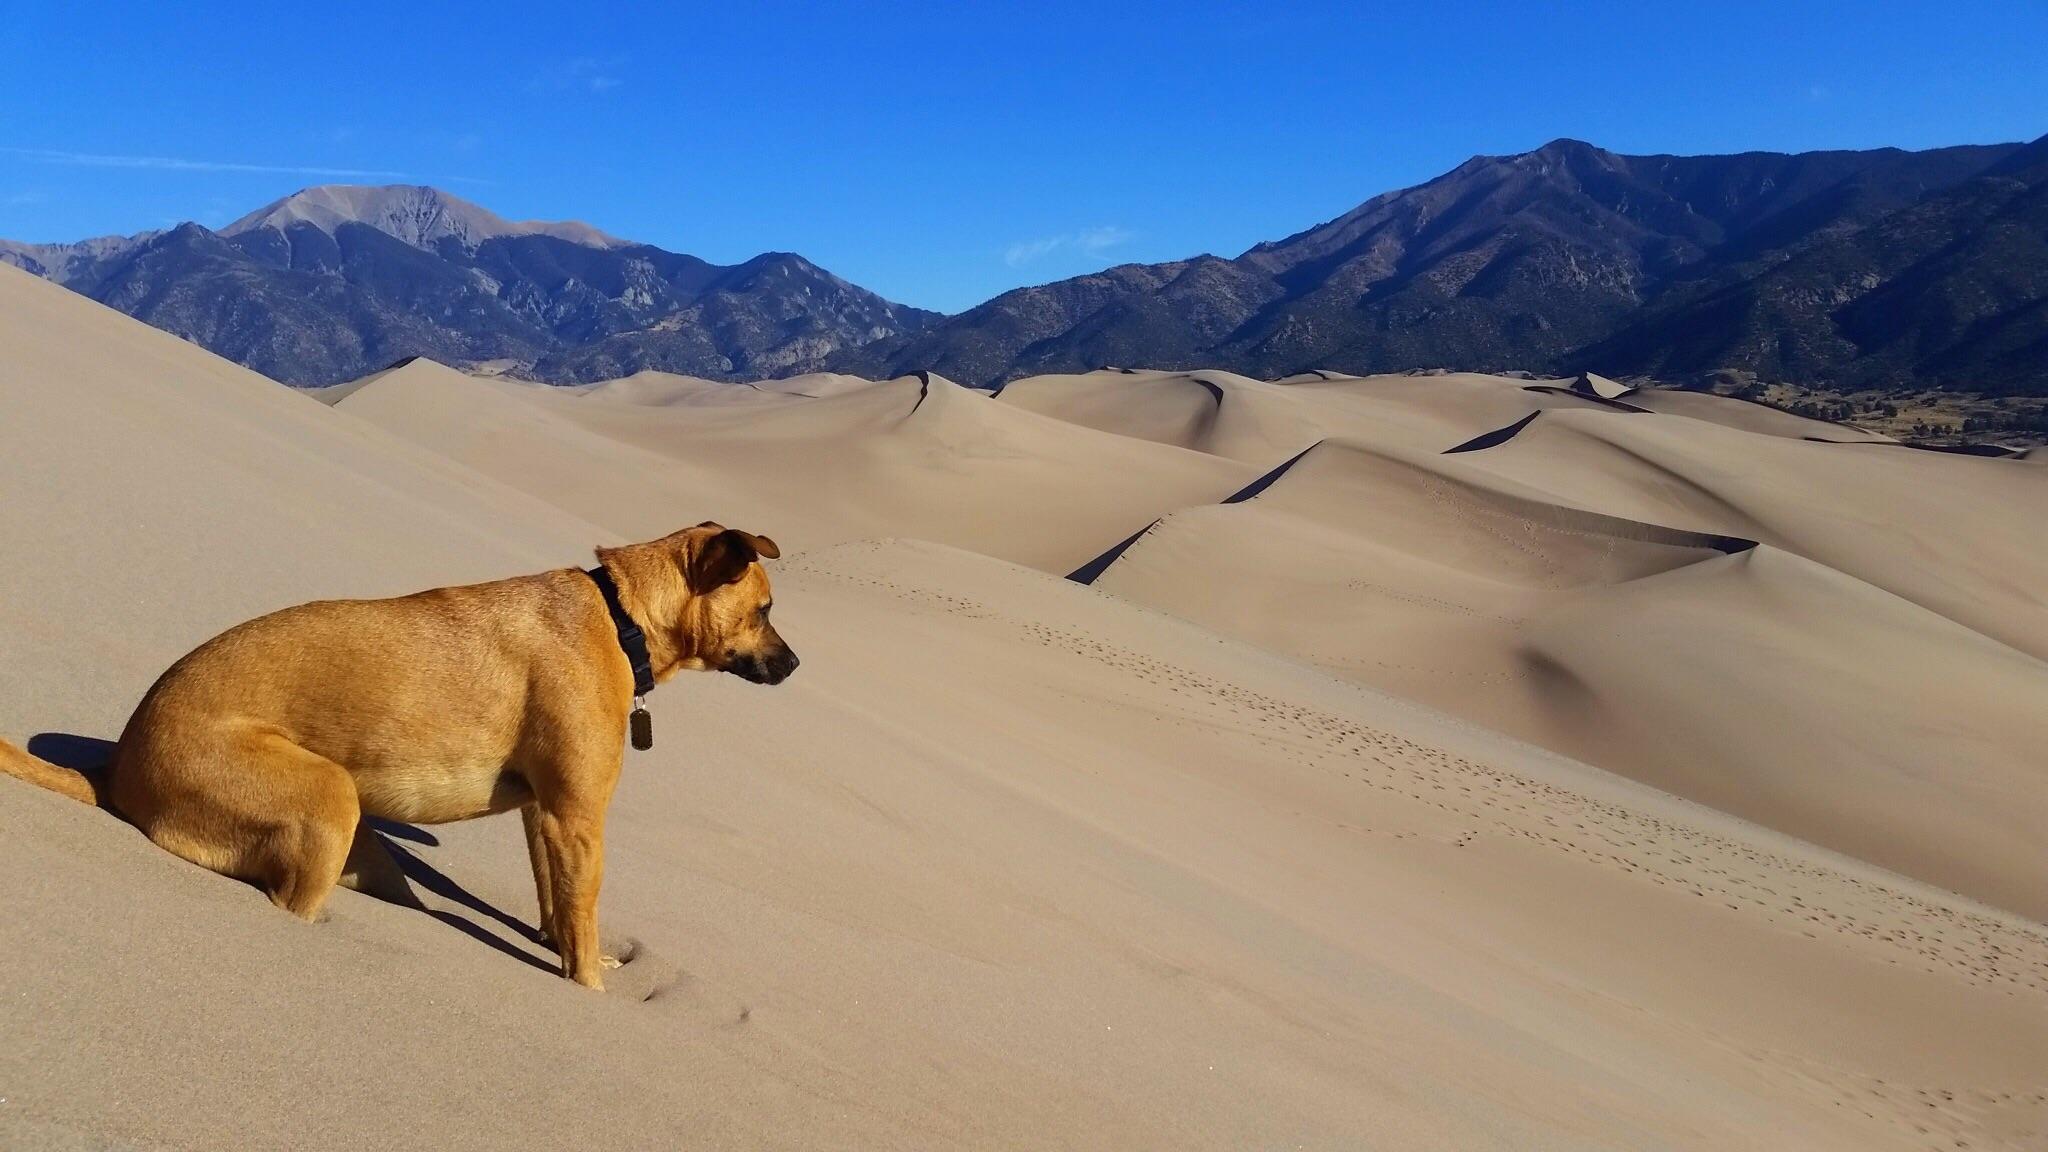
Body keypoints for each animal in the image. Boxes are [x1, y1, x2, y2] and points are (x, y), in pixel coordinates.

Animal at [0, 520, 794, 988]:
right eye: (763, 610)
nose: (794, 666)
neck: (620, 615)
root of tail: (118, 767)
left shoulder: (545, 814)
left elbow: (558, 907)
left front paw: (575, 951)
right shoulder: (577, 817)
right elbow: (584, 908)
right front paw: (592, 989)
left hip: (362, 845)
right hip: (331, 798)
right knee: (290, 904)